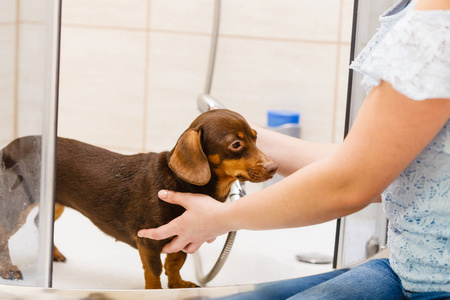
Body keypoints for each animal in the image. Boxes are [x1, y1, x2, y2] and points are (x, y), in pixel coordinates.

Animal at [0, 109, 278, 288]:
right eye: (236, 145)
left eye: (256, 137)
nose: (274, 167)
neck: (183, 184)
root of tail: (9, 147)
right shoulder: (148, 241)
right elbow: (155, 271)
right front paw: (156, 292)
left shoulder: (183, 236)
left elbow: (176, 262)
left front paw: (177, 284)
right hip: (17, 205)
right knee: (4, 235)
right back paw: (9, 269)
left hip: (53, 203)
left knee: (40, 222)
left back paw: (53, 253)